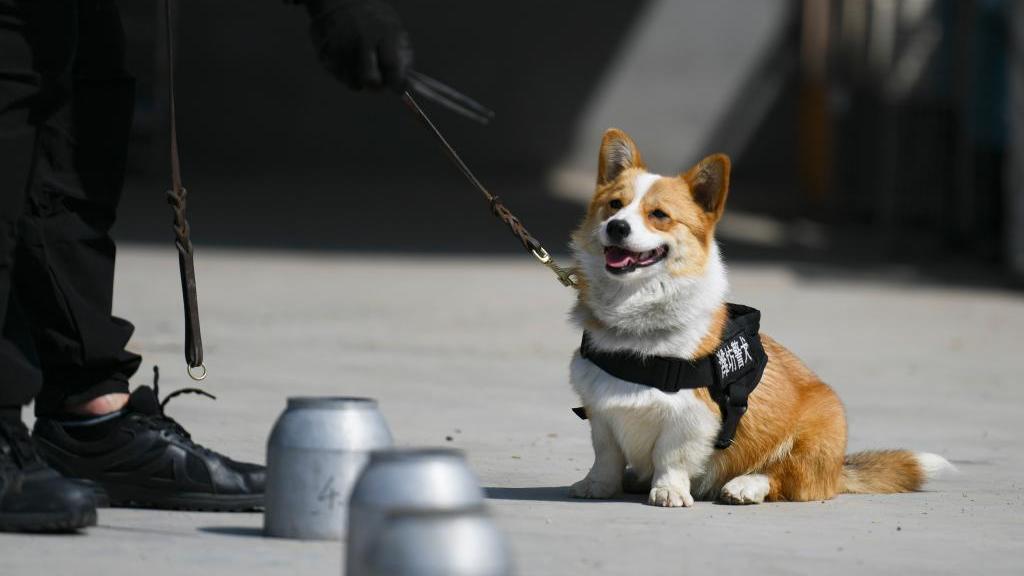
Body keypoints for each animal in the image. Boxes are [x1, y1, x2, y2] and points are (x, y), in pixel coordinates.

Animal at [565, 127, 946, 504]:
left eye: (658, 214)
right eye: (614, 205)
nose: (616, 227)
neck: (635, 316)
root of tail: (839, 470)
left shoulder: (690, 417)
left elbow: (671, 456)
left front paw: (669, 490)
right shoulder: (601, 413)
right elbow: (606, 456)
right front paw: (597, 486)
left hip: (817, 429)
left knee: (783, 477)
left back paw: (744, 486)